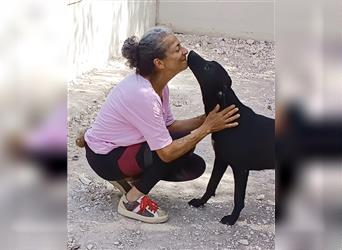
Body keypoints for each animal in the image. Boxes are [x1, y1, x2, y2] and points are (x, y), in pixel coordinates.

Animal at [187, 50, 276, 225]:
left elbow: (238, 198)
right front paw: (201, 202)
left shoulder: (240, 168)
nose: (191, 52)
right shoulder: (221, 159)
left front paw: (233, 218)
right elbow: (211, 184)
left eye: (208, 67)